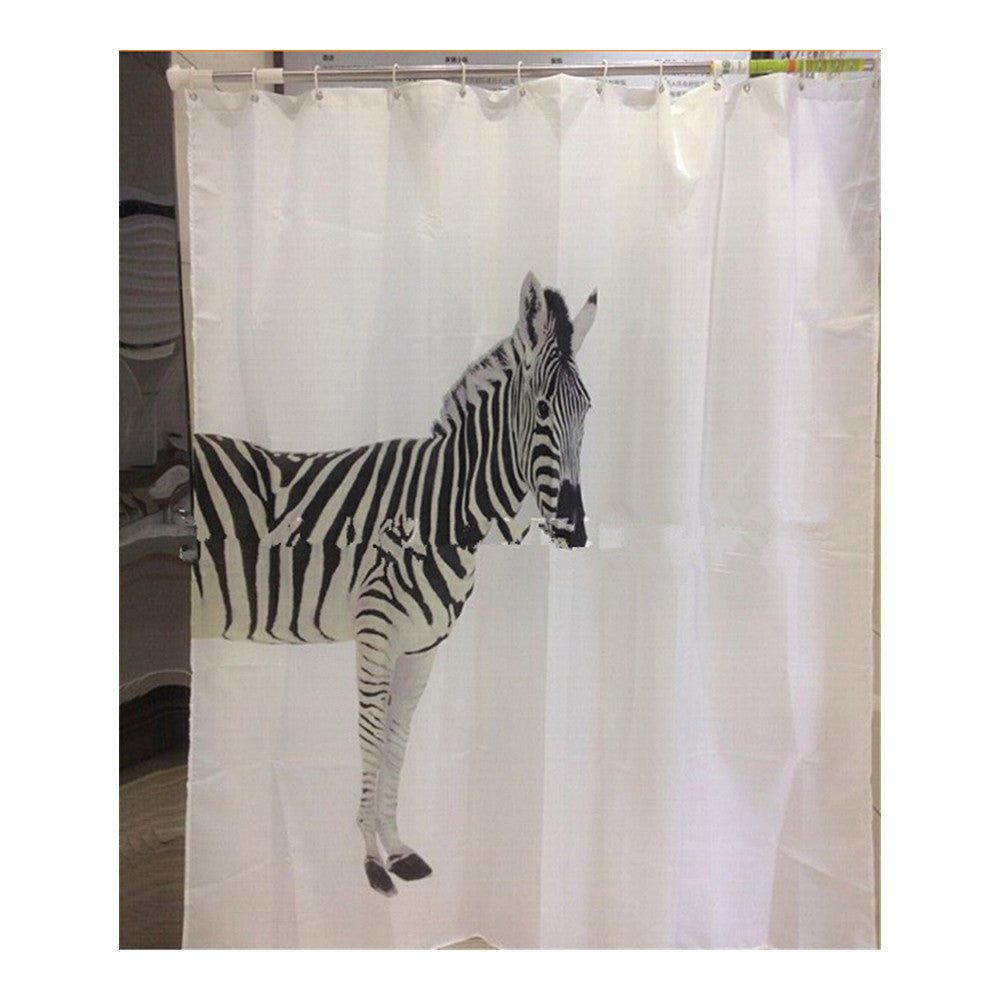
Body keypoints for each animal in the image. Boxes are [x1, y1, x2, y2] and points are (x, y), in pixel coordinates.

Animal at [191, 272, 597, 896]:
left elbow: (397, 740)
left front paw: (396, 847)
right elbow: (370, 733)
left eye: (589, 411)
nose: (576, 531)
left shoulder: (422, 645)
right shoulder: (376, 631)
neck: (440, 509)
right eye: (545, 409)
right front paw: (369, 860)